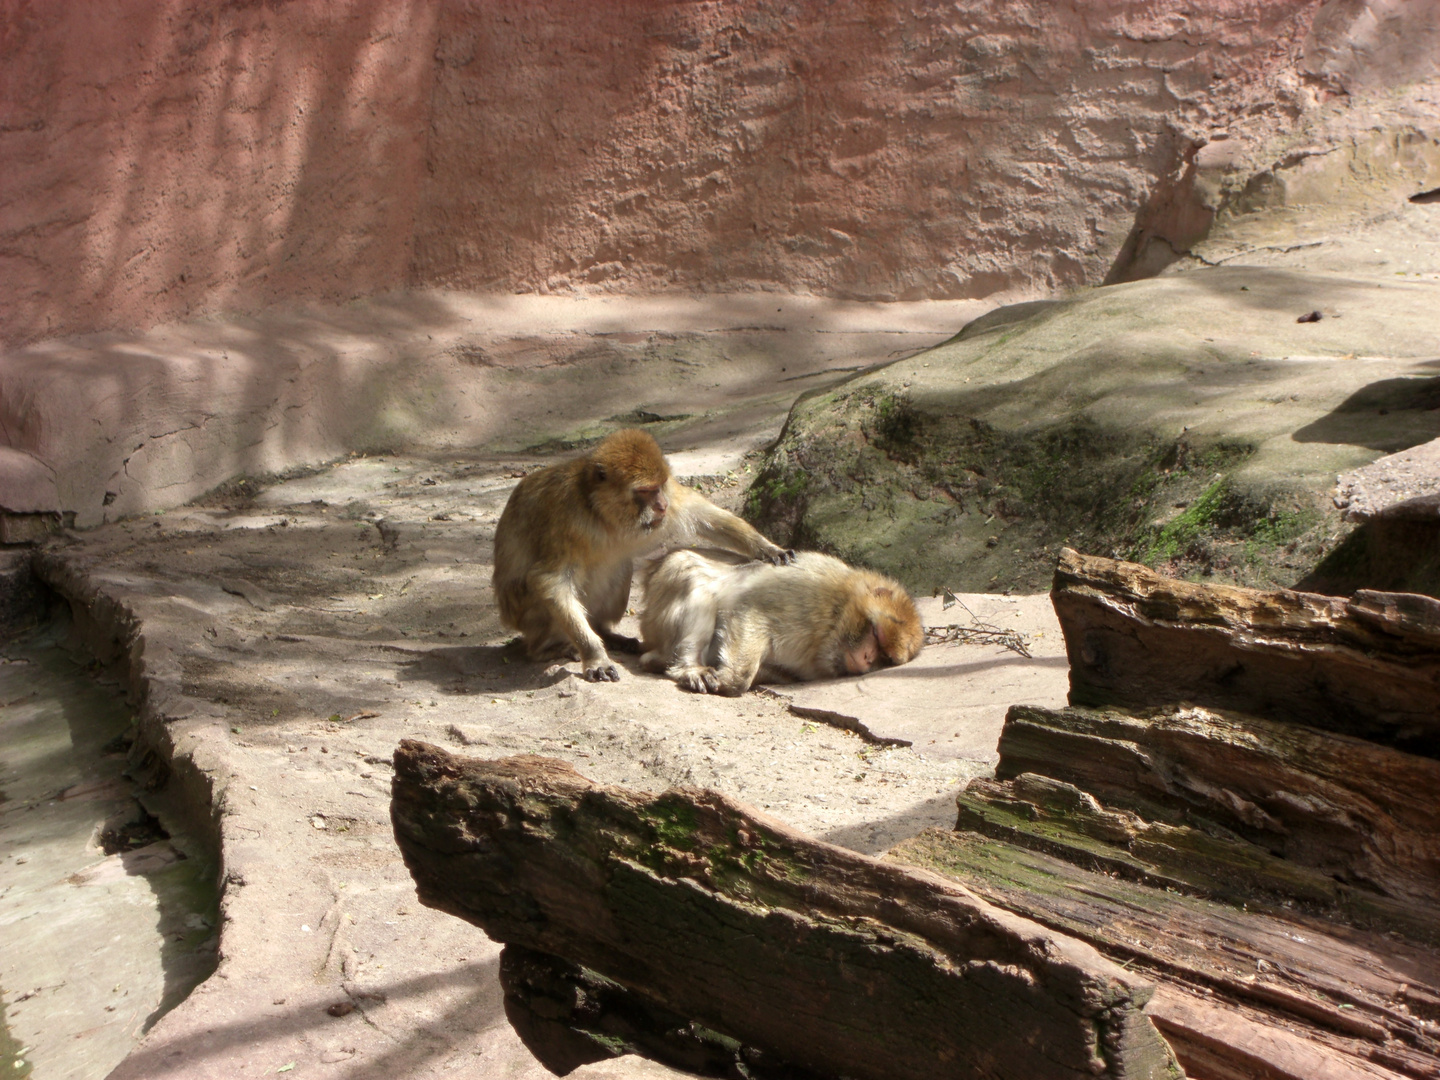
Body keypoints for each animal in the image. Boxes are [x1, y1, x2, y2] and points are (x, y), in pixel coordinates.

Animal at [492, 426, 789, 679]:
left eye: (659, 486)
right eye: (645, 491)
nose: (661, 505)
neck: (601, 513)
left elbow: (702, 516)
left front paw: (768, 548)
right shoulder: (565, 518)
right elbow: (550, 581)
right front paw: (594, 655)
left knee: (619, 570)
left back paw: (605, 633)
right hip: (525, 613)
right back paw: (545, 649)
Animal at [639, 550, 921, 694]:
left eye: (885, 656)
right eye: (876, 634)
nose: (868, 658)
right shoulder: (810, 591)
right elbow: (750, 608)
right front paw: (733, 680)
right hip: (659, 610)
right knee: (692, 571)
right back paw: (687, 667)